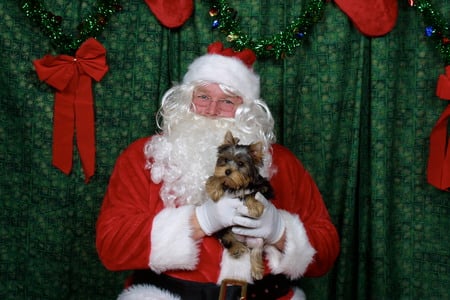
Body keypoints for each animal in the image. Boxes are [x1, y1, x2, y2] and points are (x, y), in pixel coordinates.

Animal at [205, 130, 274, 280]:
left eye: (241, 163)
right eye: (225, 160)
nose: (227, 171)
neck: (237, 185)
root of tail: (243, 241)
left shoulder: (265, 188)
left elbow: (251, 193)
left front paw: (254, 206)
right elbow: (217, 178)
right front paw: (214, 188)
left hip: (257, 239)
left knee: (256, 250)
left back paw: (257, 270)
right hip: (226, 231)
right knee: (228, 239)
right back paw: (236, 248)